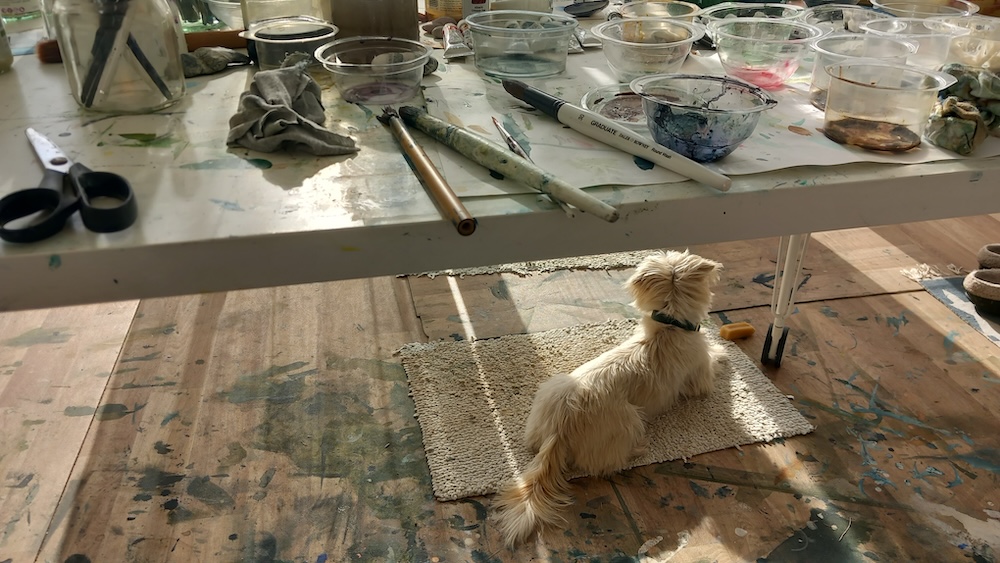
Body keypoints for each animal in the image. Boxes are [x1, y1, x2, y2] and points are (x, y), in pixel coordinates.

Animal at [494, 250, 724, 548]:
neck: (669, 327)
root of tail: (559, 429)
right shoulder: (700, 377)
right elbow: (713, 361)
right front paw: (723, 350)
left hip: (550, 394)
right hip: (630, 419)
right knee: (609, 462)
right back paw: (638, 450)